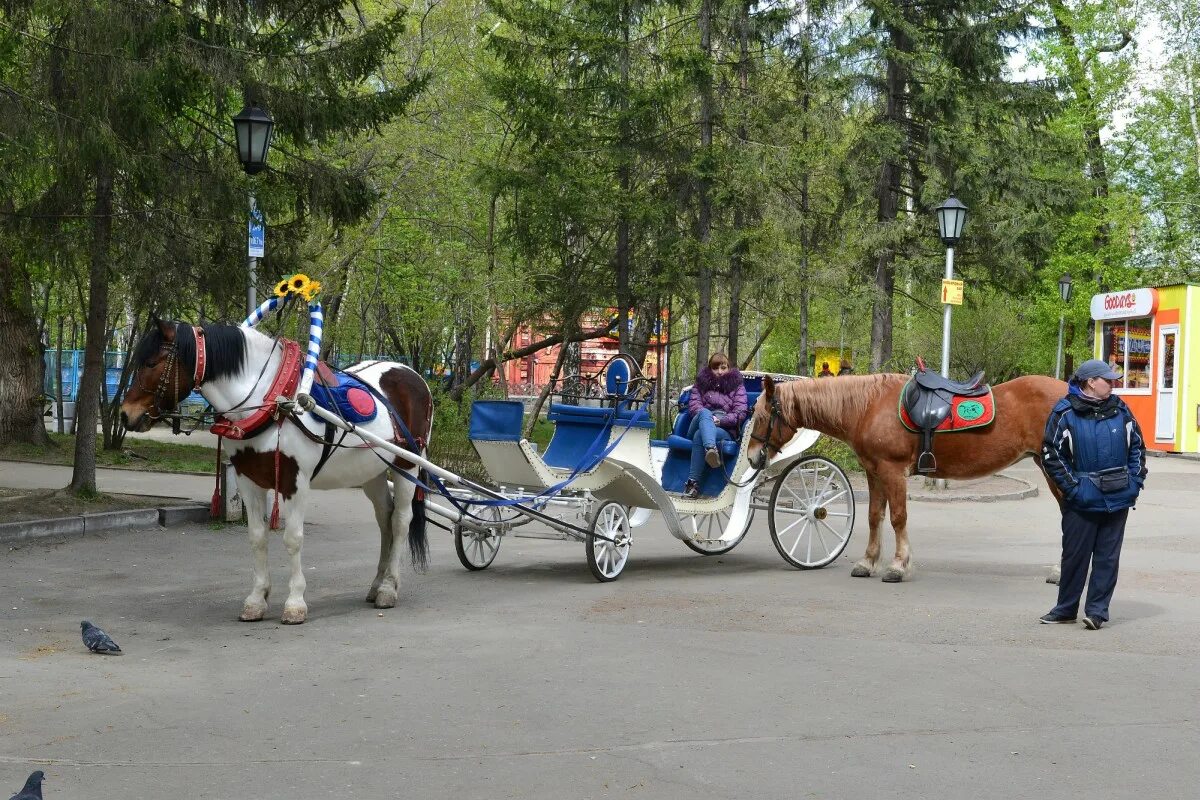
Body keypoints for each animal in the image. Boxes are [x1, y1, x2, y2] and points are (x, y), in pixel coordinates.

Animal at [120, 321, 432, 623]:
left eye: (151, 363)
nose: (125, 414)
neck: (271, 401)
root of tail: (413, 375)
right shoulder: (248, 480)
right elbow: (257, 537)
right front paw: (256, 600)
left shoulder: (296, 481)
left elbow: (293, 538)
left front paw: (295, 604)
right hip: (373, 471)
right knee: (385, 520)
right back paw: (376, 584)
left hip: (407, 465)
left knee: (401, 521)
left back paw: (389, 588)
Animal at [744, 371, 1065, 585]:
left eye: (761, 416)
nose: (752, 458)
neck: (868, 406)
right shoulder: (874, 472)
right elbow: (874, 516)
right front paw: (868, 562)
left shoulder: (892, 471)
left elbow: (898, 517)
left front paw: (897, 566)